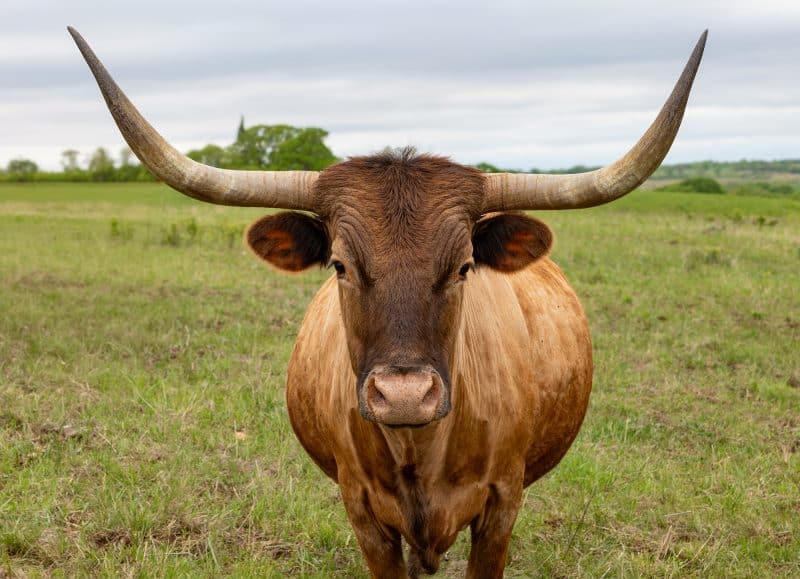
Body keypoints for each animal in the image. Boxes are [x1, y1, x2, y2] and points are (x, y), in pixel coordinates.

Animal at [70, 28, 708, 579]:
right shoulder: (363, 514)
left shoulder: (502, 506)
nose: (403, 395)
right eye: (339, 264)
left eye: (464, 266)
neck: (417, 448)